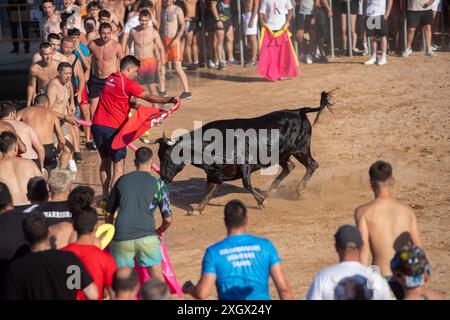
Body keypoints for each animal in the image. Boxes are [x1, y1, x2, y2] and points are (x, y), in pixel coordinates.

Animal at [148, 90, 334, 215]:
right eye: (159, 156)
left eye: (168, 156)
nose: (163, 177)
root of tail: (299, 111)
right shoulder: (214, 174)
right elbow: (208, 191)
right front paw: (198, 209)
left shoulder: (244, 165)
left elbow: (247, 184)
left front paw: (262, 202)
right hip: (282, 153)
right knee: (289, 166)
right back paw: (271, 190)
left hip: (301, 149)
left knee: (312, 165)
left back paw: (299, 191)